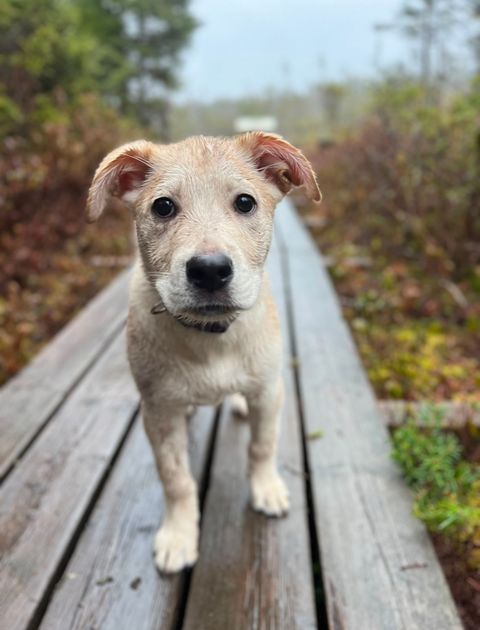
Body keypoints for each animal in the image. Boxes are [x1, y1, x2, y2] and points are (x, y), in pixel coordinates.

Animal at [87, 132, 318, 572]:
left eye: (245, 202)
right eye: (163, 206)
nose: (209, 270)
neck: (211, 337)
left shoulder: (268, 391)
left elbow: (262, 446)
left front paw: (266, 489)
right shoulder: (158, 412)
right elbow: (175, 478)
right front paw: (179, 535)